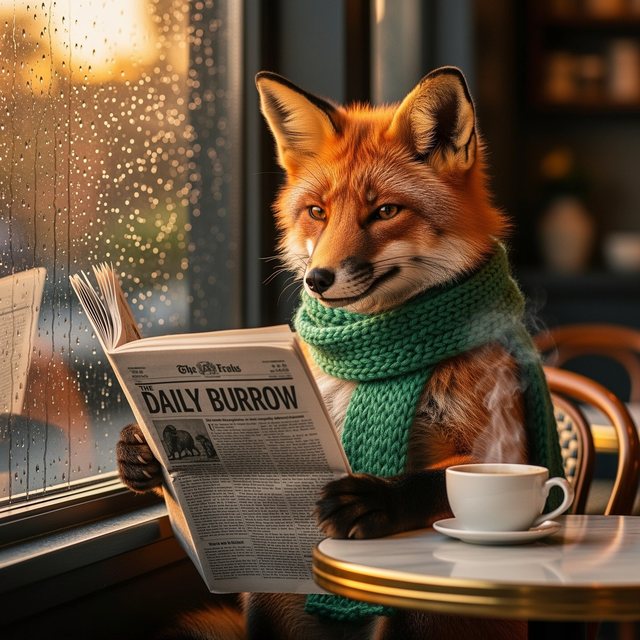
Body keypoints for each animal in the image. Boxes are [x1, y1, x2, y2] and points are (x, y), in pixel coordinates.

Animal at [116, 67, 560, 640]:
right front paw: (142, 453)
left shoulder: (502, 444)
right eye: (317, 213)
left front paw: (377, 496)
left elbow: (436, 481)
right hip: (265, 598)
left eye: (386, 211)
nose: (317, 279)